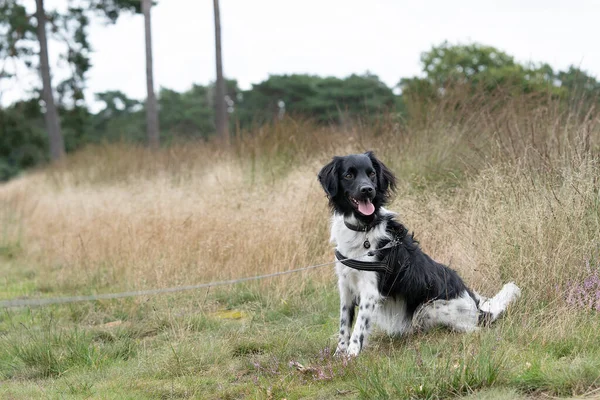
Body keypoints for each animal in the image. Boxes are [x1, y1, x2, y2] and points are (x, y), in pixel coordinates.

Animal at [318, 152, 520, 356]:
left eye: (372, 173)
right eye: (348, 175)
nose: (367, 189)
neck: (364, 227)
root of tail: (477, 309)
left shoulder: (370, 291)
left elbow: (358, 328)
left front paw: (351, 356)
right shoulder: (346, 286)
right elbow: (344, 325)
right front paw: (338, 355)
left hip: (429, 309)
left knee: (471, 329)